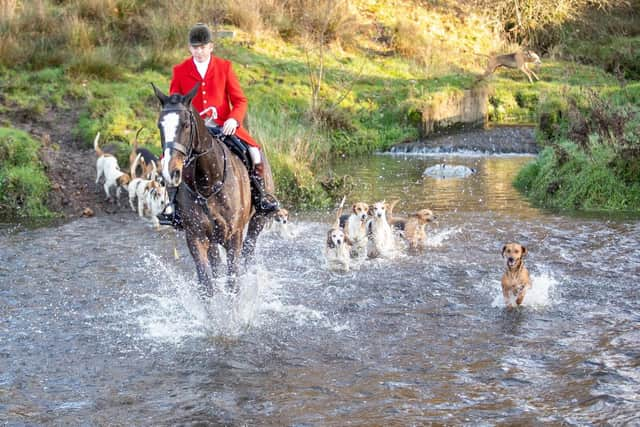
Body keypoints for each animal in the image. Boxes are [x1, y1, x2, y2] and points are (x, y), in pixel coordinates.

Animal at [153, 83, 278, 298]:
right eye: (160, 125)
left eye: (185, 125)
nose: (171, 172)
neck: (208, 182)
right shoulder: (196, 238)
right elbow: (207, 284)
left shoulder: (234, 237)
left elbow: (233, 282)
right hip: (212, 238)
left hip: (258, 220)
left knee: (248, 253)